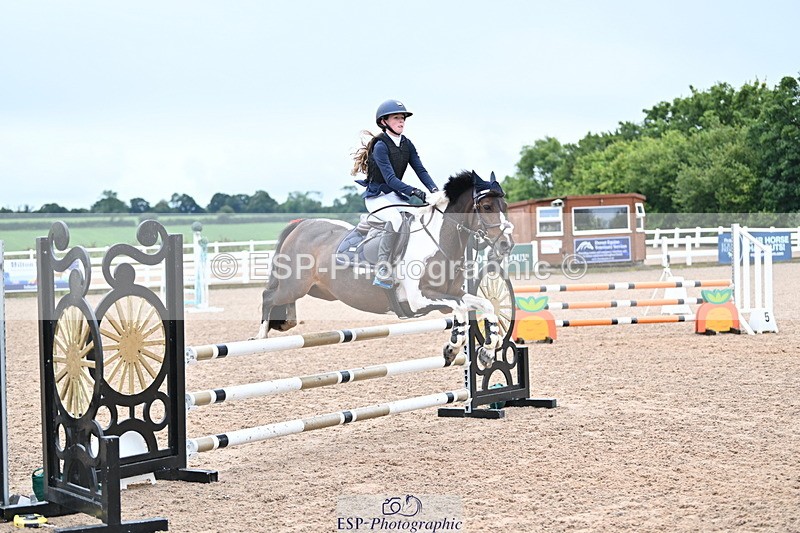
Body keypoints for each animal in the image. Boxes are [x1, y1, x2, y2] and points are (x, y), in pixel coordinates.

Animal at [254, 170, 515, 367]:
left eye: (504, 205)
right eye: (487, 206)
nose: (506, 244)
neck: (439, 241)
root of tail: (301, 224)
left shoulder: (454, 293)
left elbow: (487, 305)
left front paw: (487, 352)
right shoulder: (420, 299)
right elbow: (460, 310)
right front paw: (452, 347)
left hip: (316, 290)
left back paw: (285, 322)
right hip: (294, 285)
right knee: (268, 296)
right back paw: (261, 336)